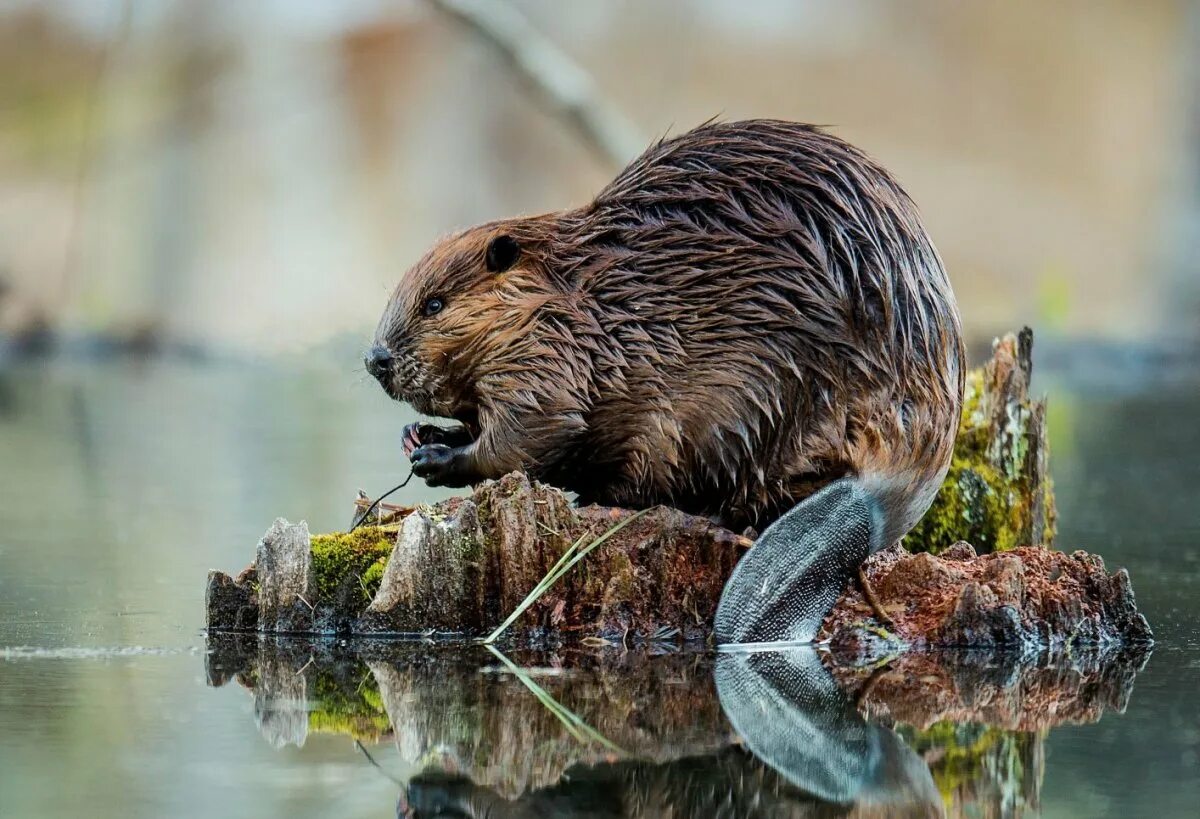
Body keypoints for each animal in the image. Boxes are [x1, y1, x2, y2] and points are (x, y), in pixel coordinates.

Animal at [364, 119, 964, 643]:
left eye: (434, 303)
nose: (376, 359)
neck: (575, 296)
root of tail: (875, 500)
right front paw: (420, 434)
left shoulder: (551, 358)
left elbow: (533, 433)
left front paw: (437, 457)